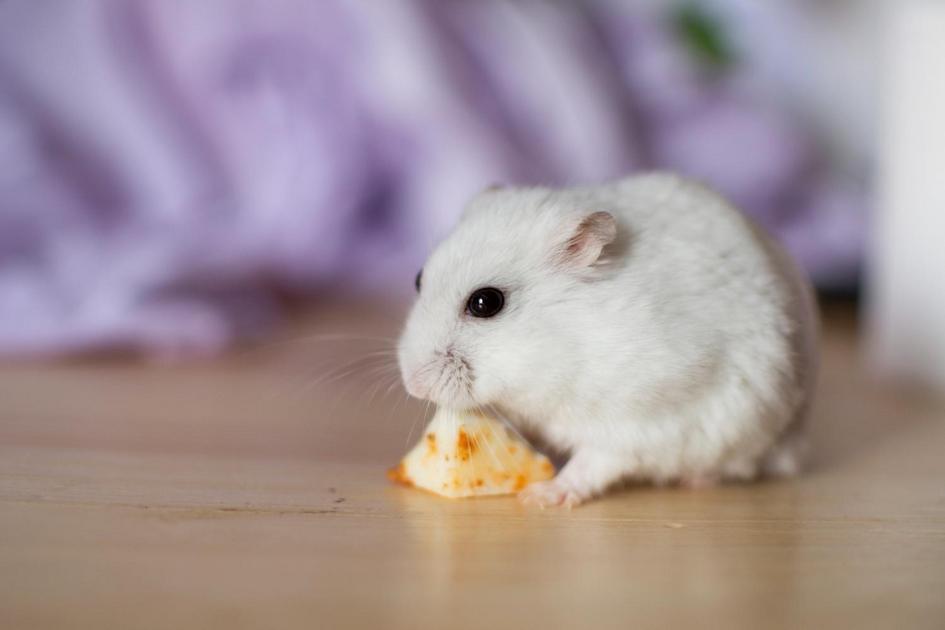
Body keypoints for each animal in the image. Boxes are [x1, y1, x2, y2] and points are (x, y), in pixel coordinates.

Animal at [397, 173, 818, 507]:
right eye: (418, 279)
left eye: (486, 302)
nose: (413, 385)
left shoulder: (639, 416)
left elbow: (595, 462)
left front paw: (541, 497)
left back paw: (696, 480)